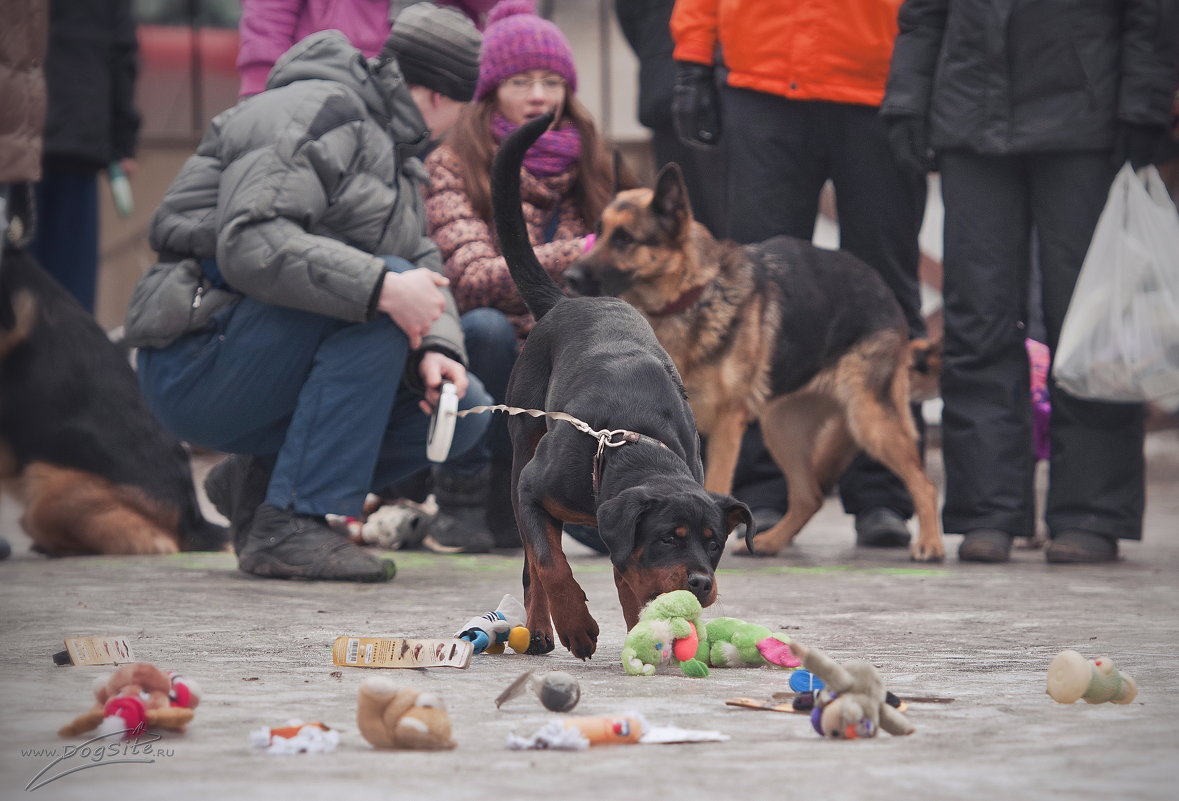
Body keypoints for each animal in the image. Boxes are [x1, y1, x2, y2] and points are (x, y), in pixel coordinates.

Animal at [490, 116, 749, 660]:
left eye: (715, 541)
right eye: (669, 537)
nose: (701, 582)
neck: (629, 445)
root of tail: (565, 301)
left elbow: (632, 580)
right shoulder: (532, 490)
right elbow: (550, 563)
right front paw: (577, 625)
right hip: (522, 448)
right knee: (531, 565)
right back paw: (541, 629)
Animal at [565, 163, 943, 563]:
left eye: (625, 239)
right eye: (599, 233)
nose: (569, 276)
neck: (689, 298)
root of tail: (880, 285)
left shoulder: (726, 426)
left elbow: (713, 485)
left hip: (869, 420)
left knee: (924, 484)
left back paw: (930, 544)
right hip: (782, 427)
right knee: (809, 496)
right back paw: (770, 542)